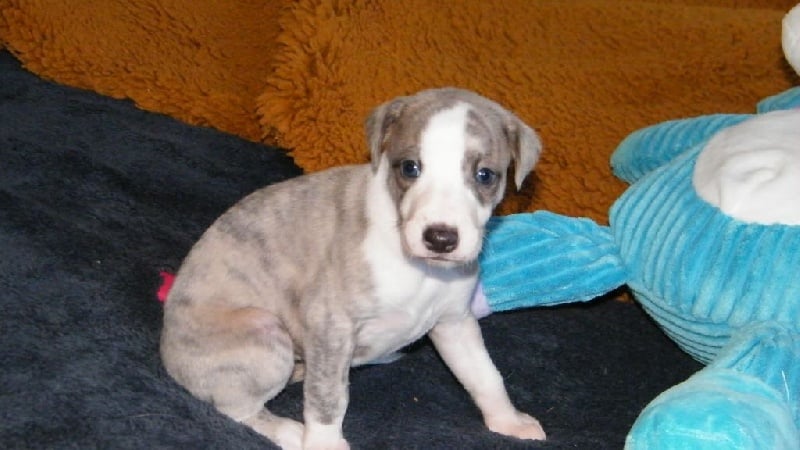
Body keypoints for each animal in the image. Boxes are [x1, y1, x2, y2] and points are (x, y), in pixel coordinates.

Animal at [160, 87, 546, 449]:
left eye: (485, 175)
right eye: (410, 167)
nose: (440, 238)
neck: (421, 270)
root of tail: (167, 354)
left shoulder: (454, 323)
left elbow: (485, 375)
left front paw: (509, 421)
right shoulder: (331, 324)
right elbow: (328, 398)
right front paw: (325, 444)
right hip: (263, 332)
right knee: (234, 409)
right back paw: (288, 431)